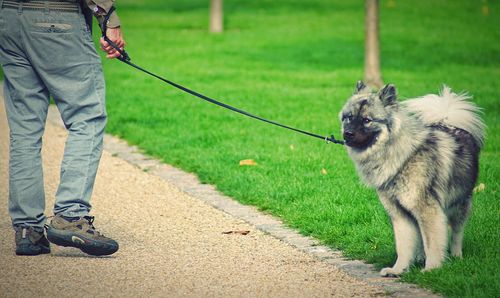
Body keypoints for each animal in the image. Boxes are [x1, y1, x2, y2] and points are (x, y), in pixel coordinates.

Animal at [340, 81, 484, 278]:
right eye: (349, 118)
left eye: (367, 120)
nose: (347, 133)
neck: (401, 154)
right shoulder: (400, 214)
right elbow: (404, 245)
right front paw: (399, 269)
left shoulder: (428, 210)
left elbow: (433, 243)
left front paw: (432, 269)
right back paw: (419, 258)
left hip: (459, 205)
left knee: (456, 233)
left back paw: (456, 256)